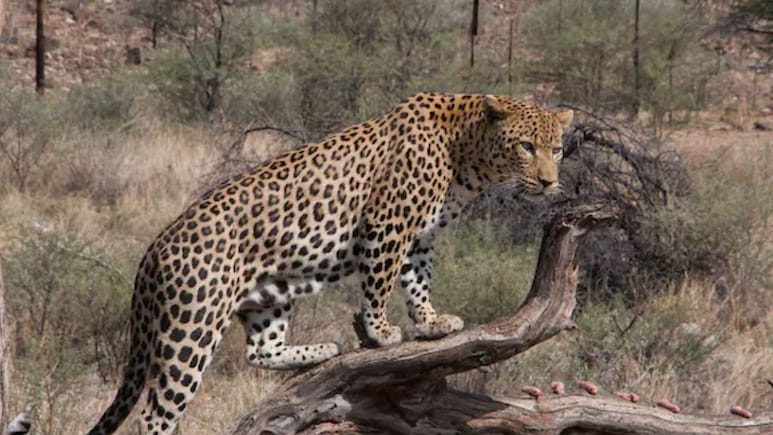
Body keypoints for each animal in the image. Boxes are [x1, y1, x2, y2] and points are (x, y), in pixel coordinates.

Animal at [87, 92, 573, 434]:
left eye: (557, 149)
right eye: (526, 146)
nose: (550, 183)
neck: (466, 154)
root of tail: (155, 248)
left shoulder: (419, 236)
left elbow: (418, 282)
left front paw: (430, 322)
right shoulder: (387, 223)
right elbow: (380, 282)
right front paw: (379, 332)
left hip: (270, 295)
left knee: (260, 350)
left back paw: (321, 350)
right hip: (192, 326)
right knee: (158, 413)